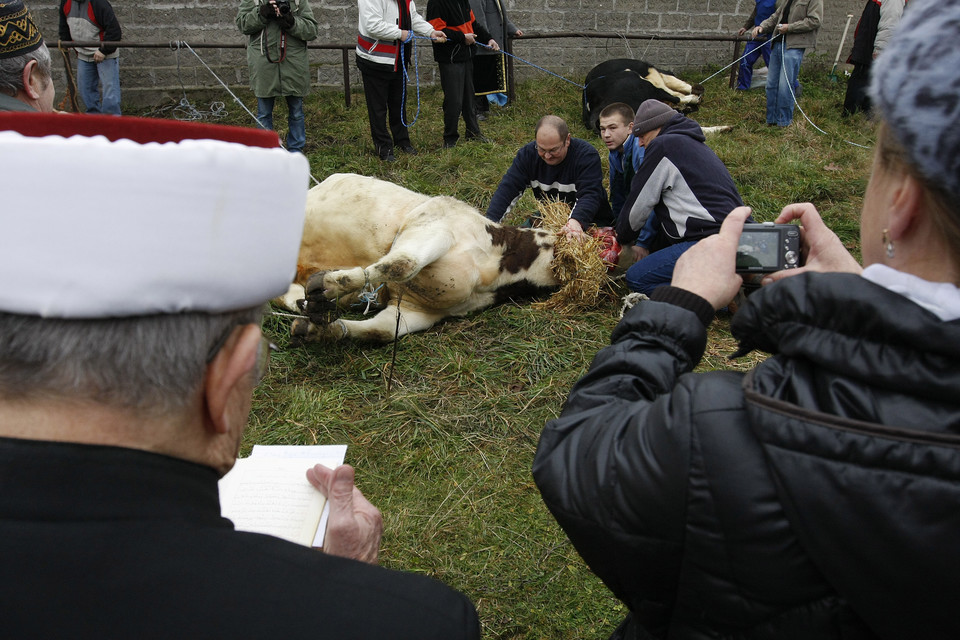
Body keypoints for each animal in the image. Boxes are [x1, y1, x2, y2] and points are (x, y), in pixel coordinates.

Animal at [278, 170, 560, 340]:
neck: (493, 269)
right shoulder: (433, 228)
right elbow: (402, 264)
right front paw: (328, 284)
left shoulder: (418, 310)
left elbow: (381, 331)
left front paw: (319, 328)